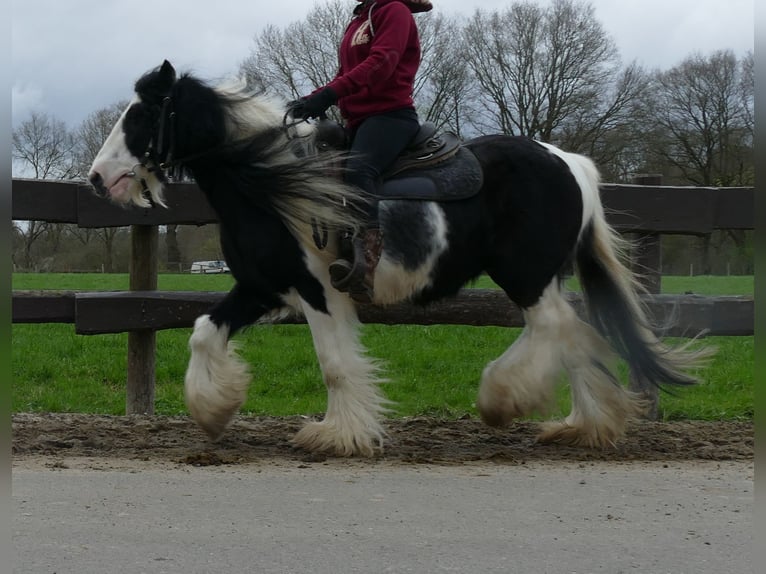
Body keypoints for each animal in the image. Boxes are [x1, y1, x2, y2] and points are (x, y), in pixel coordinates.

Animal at [88, 60, 708, 456]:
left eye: (141, 116)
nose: (97, 178)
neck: (271, 182)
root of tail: (569, 162)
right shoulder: (262, 286)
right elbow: (201, 331)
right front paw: (212, 409)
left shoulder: (319, 290)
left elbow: (336, 366)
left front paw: (337, 436)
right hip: (542, 276)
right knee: (573, 334)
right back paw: (584, 427)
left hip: (526, 275)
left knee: (556, 328)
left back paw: (502, 399)